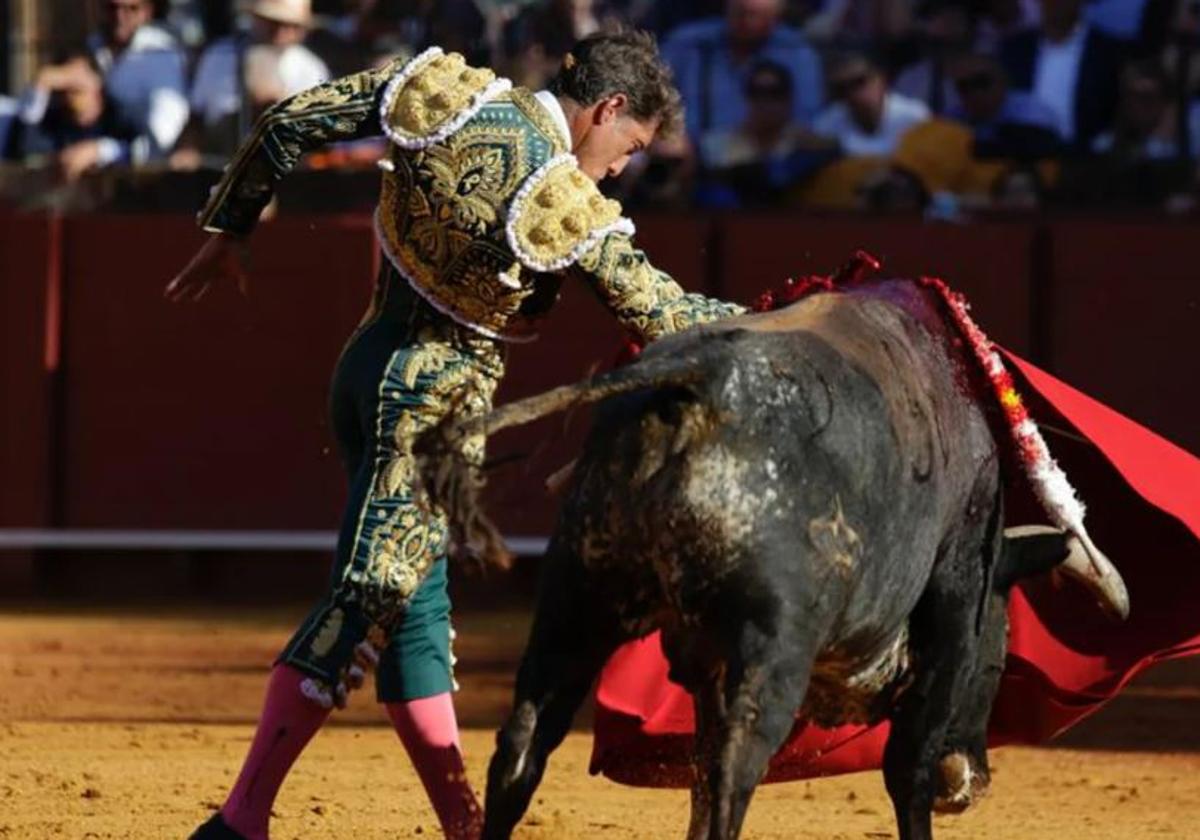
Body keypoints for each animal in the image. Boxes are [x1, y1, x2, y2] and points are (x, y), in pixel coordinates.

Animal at [420, 277, 1123, 840]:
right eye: (1000, 656)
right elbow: (908, 764)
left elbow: (698, 770)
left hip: (576, 599)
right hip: (774, 639)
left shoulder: (704, 659)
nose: (971, 783)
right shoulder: (954, 599)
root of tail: (694, 381)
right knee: (739, 764)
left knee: (522, 749)